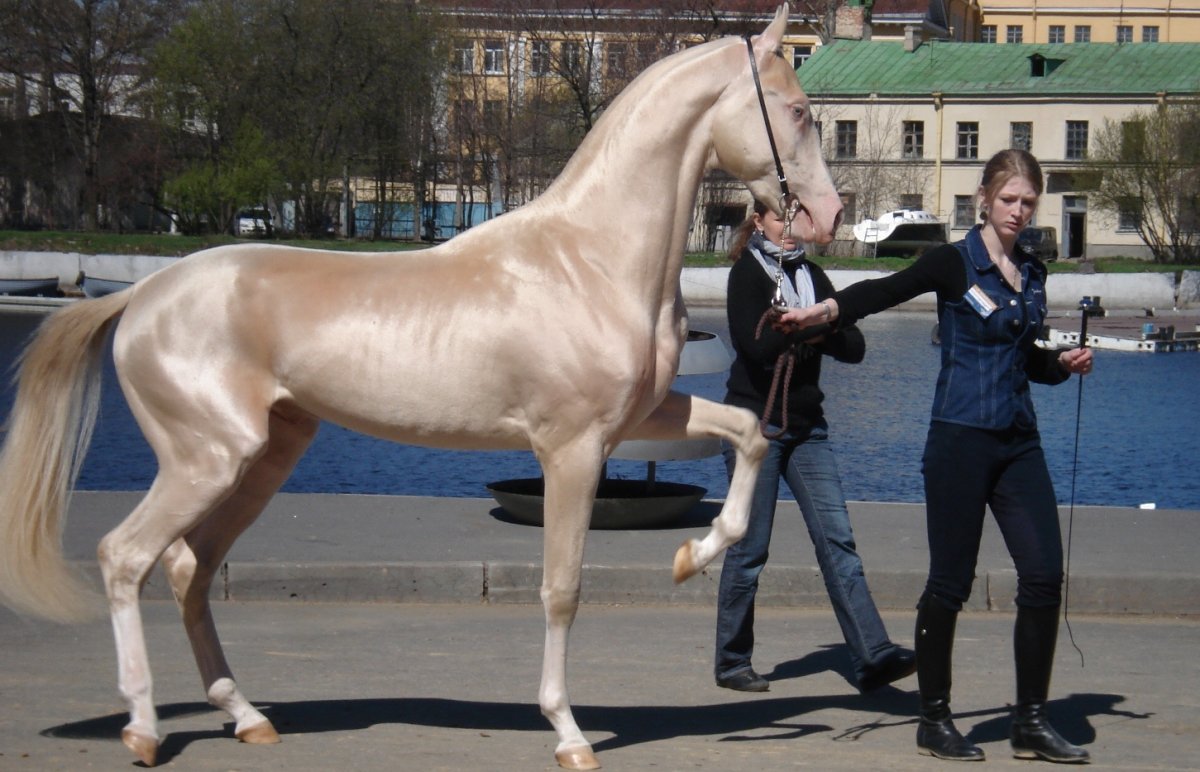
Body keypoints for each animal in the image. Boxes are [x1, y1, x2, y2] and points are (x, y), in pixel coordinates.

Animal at [0, 6, 840, 769]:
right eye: (799, 110)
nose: (828, 217)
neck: (592, 258)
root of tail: (142, 295)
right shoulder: (572, 449)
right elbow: (561, 588)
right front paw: (568, 733)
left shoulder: (641, 418)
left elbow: (750, 434)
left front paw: (692, 556)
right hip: (206, 459)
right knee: (124, 557)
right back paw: (143, 729)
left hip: (261, 459)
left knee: (189, 568)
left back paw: (247, 717)